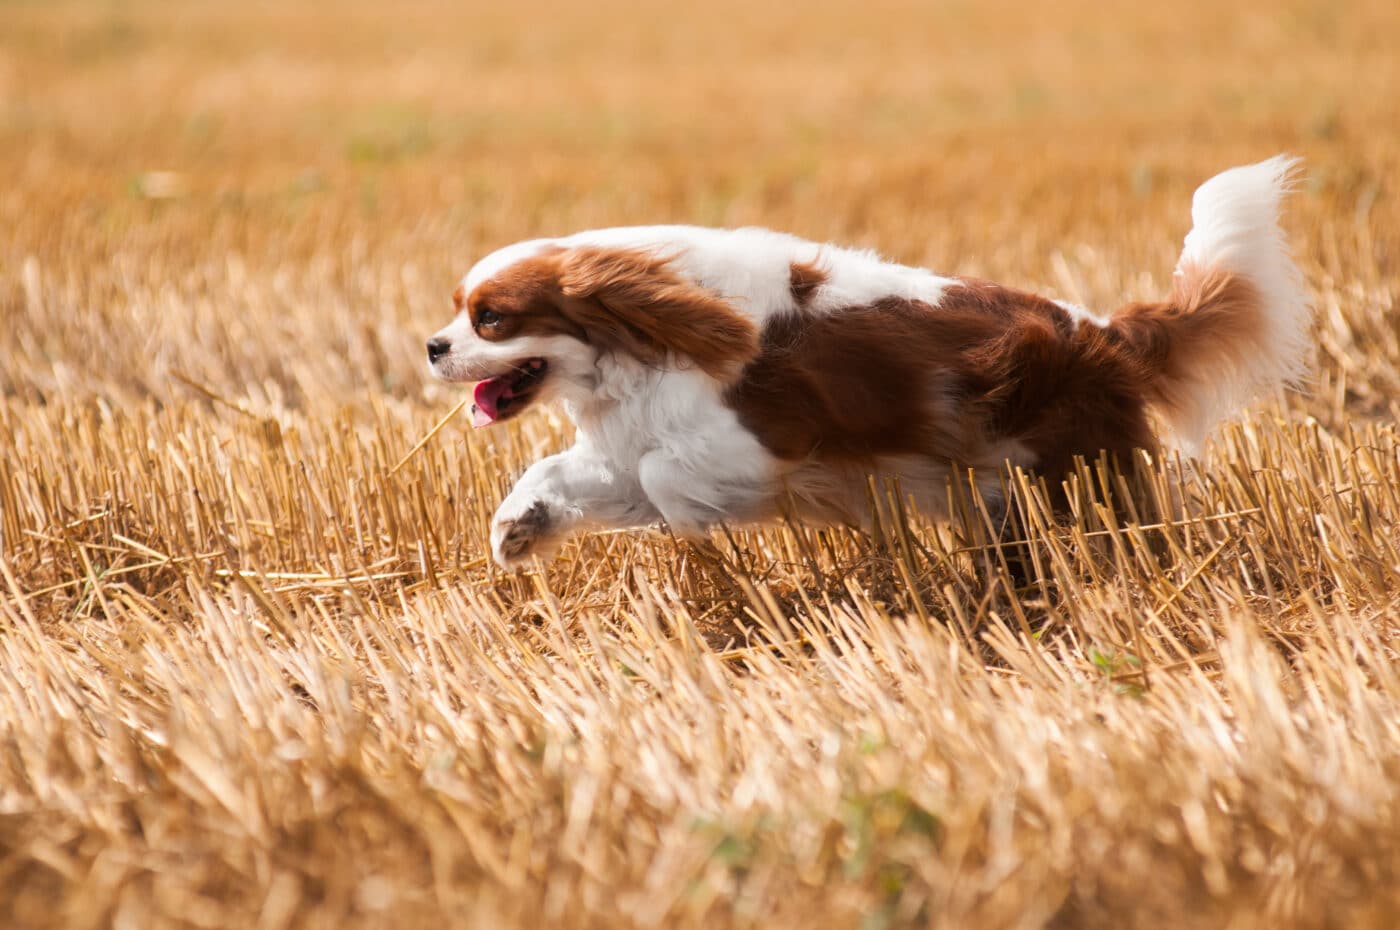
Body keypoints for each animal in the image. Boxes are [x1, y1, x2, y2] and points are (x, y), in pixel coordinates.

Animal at [425, 156, 1310, 571]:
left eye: (491, 317)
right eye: (458, 308)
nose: (433, 346)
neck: (648, 340)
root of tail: (1104, 333)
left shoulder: (750, 443)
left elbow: (665, 482)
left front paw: (703, 537)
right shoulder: (628, 440)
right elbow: (558, 472)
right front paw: (518, 529)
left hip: (1075, 469)